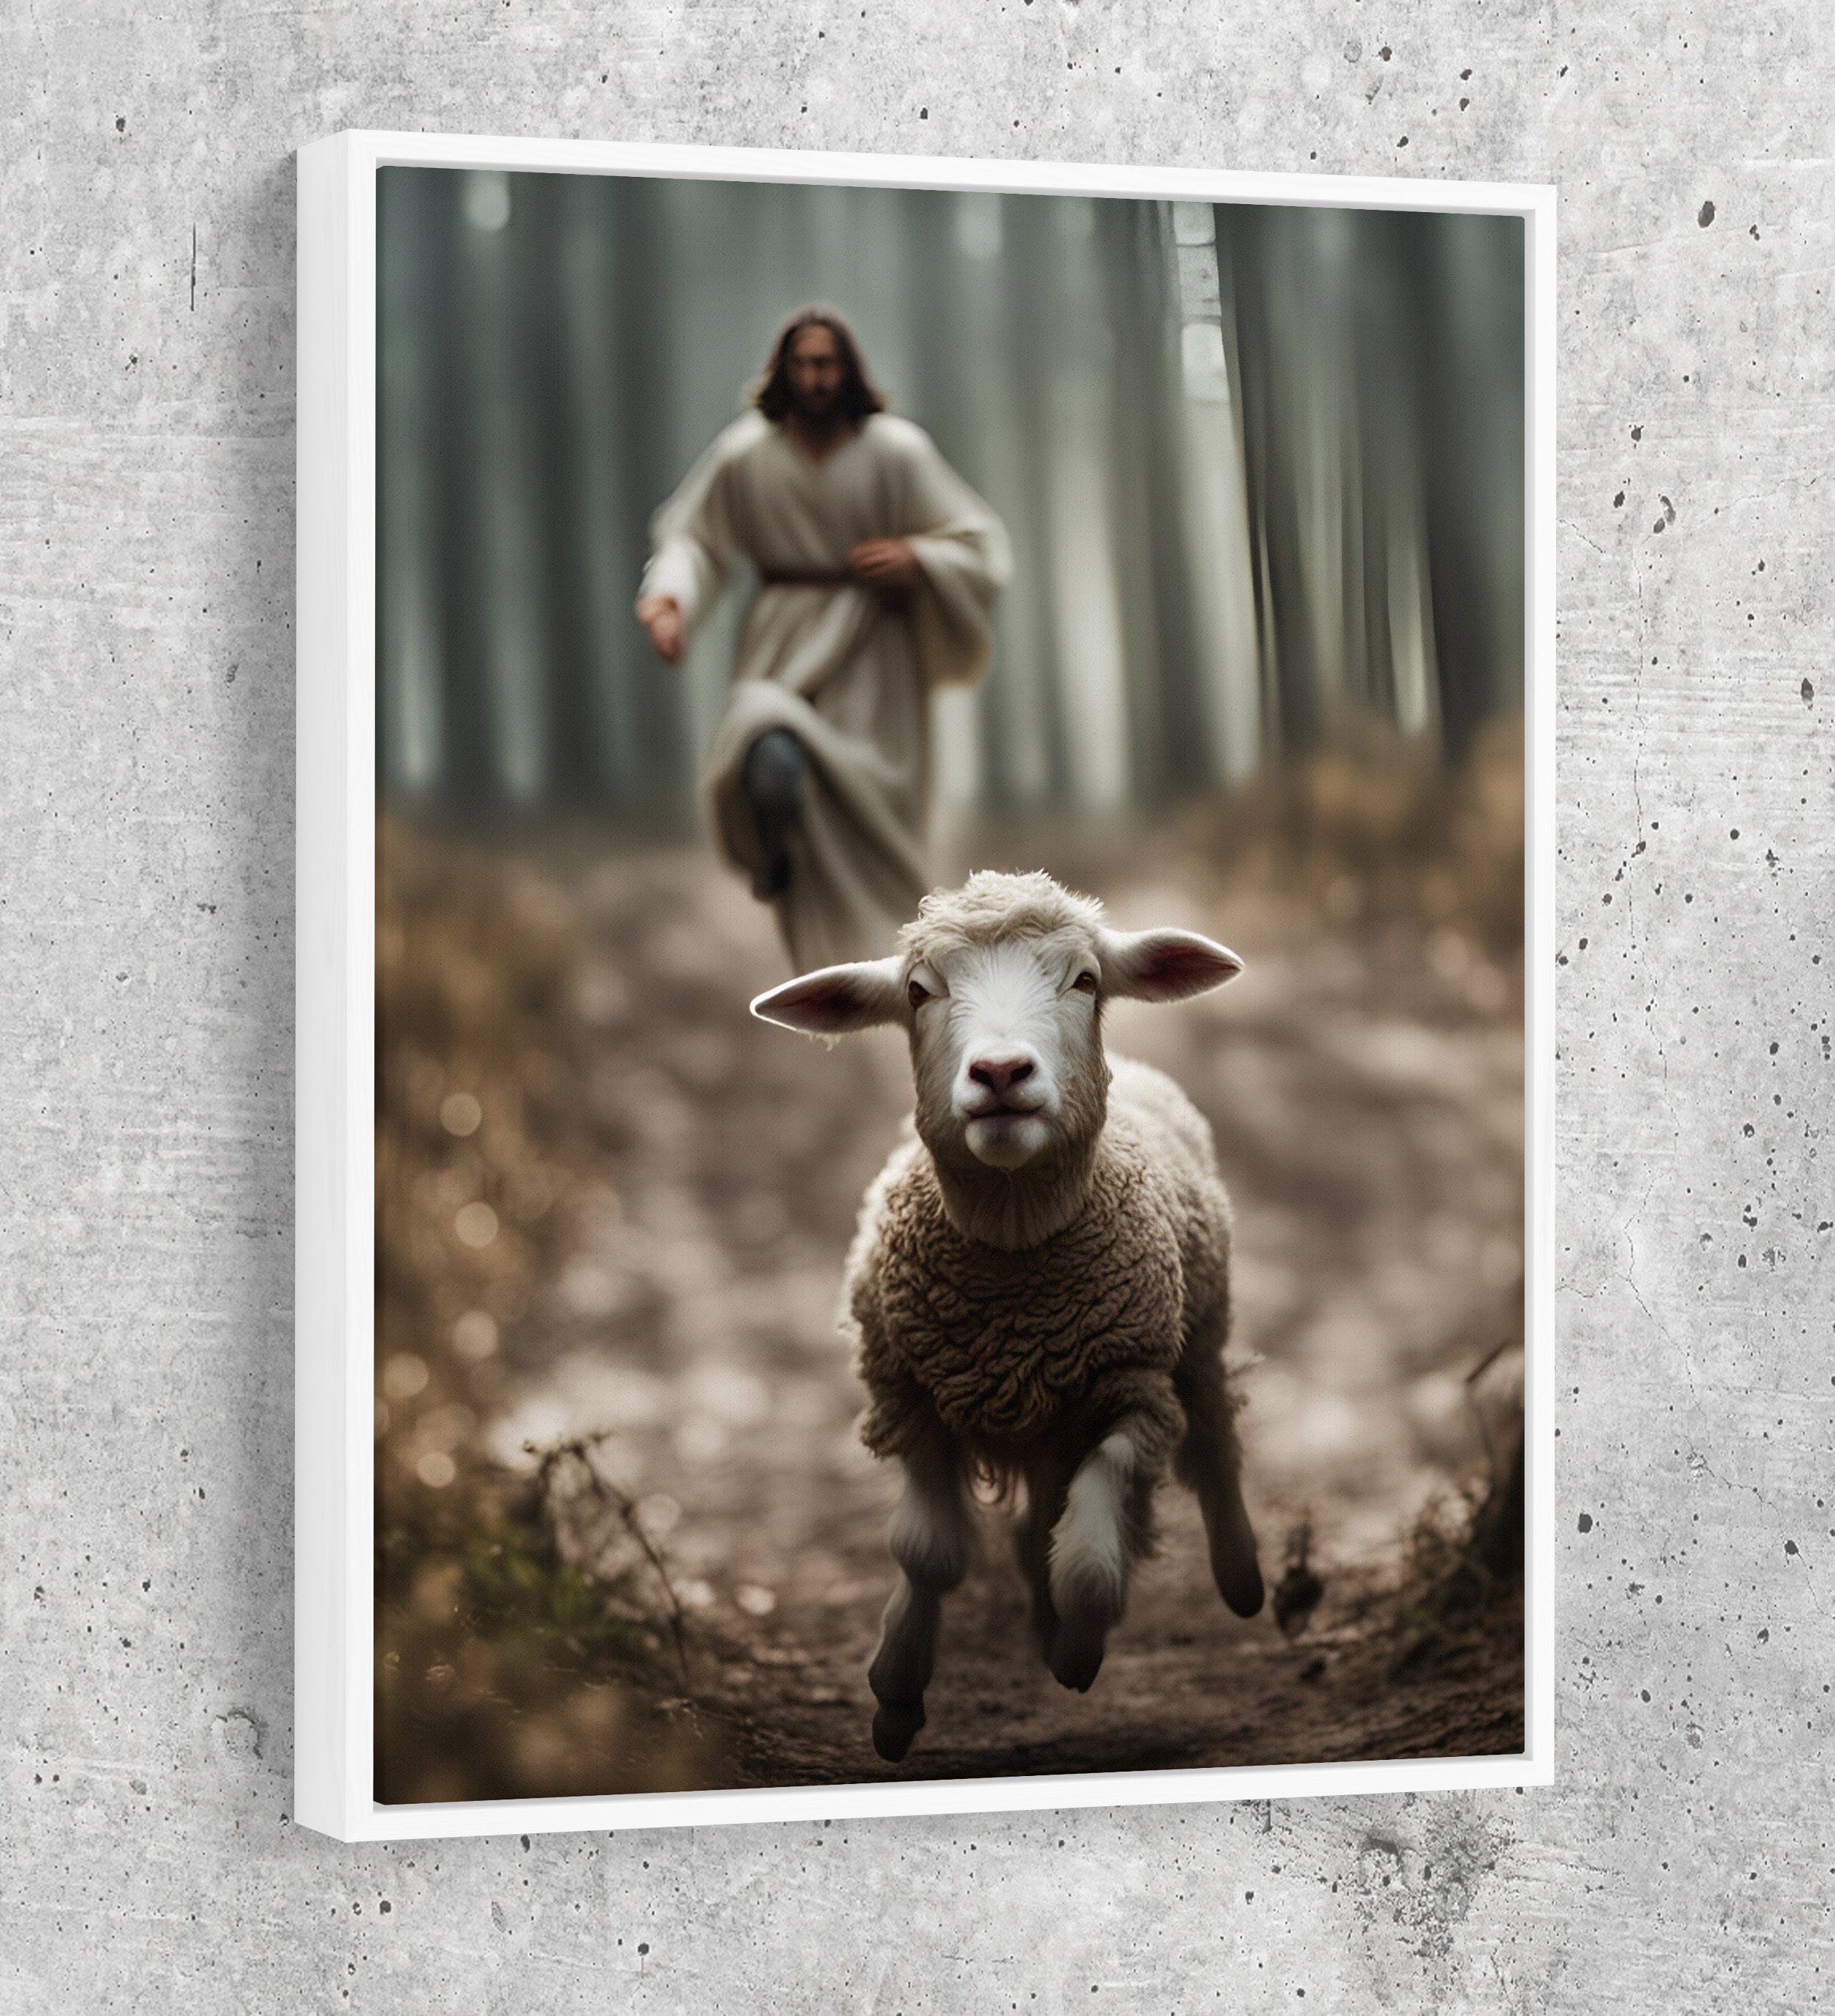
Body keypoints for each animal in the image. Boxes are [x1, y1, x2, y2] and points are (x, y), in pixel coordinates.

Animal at [751, 869, 1264, 1763]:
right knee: (1041, 1519)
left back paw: (1240, 1577)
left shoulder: (1134, 1393)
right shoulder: (911, 1400)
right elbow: (928, 1552)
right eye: (918, 992)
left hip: (1198, 1331)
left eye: (1086, 980)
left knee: (1211, 1436)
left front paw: (1079, 1652)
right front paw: (896, 1697)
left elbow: (1089, 1564)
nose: (999, 1072)